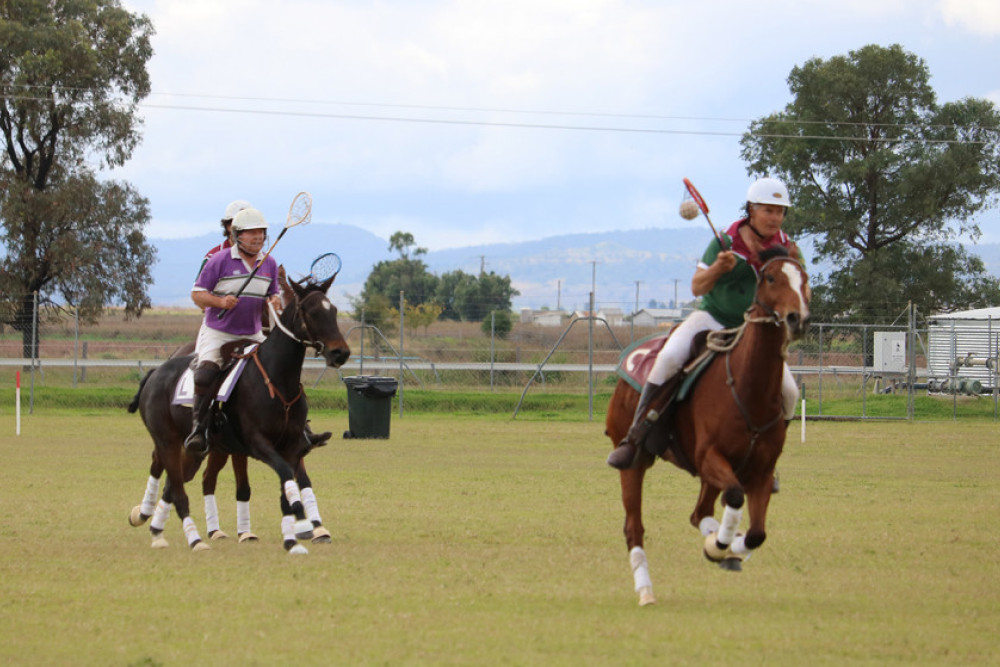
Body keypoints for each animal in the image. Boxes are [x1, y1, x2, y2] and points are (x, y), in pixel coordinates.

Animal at [127, 272, 350, 552]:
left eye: (334, 310)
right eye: (311, 312)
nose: (341, 352)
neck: (278, 380)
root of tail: (154, 372)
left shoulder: (290, 446)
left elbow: (290, 485)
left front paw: (296, 535)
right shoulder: (256, 443)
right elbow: (279, 479)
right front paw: (300, 525)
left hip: (198, 449)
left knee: (175, 483)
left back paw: (158, 529)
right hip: (168, 440)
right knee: (175, 485)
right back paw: (191, 537)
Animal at [604, 253, 808, 608]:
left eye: (805, 279)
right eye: (770, 279)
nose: (797, 319)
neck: (748, 388)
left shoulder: (761, 472)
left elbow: (756, 533)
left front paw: (726, 546)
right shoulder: (709, 457)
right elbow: (736, 498)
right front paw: (720, 545)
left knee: (700, 513)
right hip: (635, 460)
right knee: (634, 527)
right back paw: (646, 591)